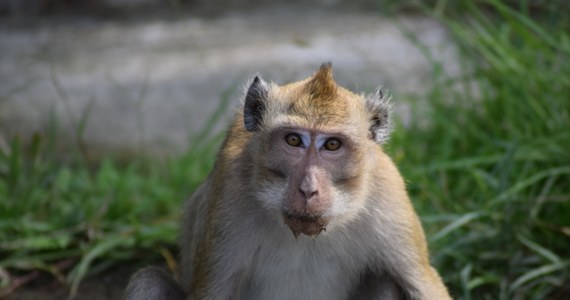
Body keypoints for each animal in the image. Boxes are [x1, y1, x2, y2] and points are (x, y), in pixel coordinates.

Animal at [124, 63, 448, 300]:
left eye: (332, 145)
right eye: (294, 140)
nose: (308, 189)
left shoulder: (387, 194)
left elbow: (423, 284)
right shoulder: (229, 196)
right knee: (148, 281)